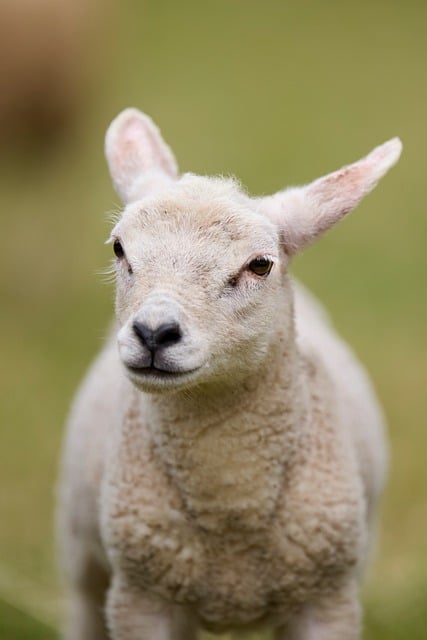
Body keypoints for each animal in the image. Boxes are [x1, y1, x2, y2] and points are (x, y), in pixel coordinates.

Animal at [57, 108, 402, 640]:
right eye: (119, 249)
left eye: (260, 265)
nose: (154, 332)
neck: (231, 505)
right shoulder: (141, 598)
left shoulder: (328, 599)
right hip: (84, 557)